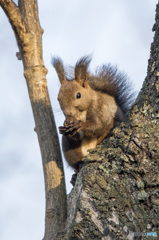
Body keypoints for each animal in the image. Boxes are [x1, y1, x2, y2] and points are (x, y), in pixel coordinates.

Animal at [51, 55, 133, 185]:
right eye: (58, 98)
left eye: (78, 95)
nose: (69, 114)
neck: (81, 113)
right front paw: (65, 127)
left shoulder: (100, 108)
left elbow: (97, 125)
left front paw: (79, 125)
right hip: (70, 150)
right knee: (77, 163)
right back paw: (75, 176)